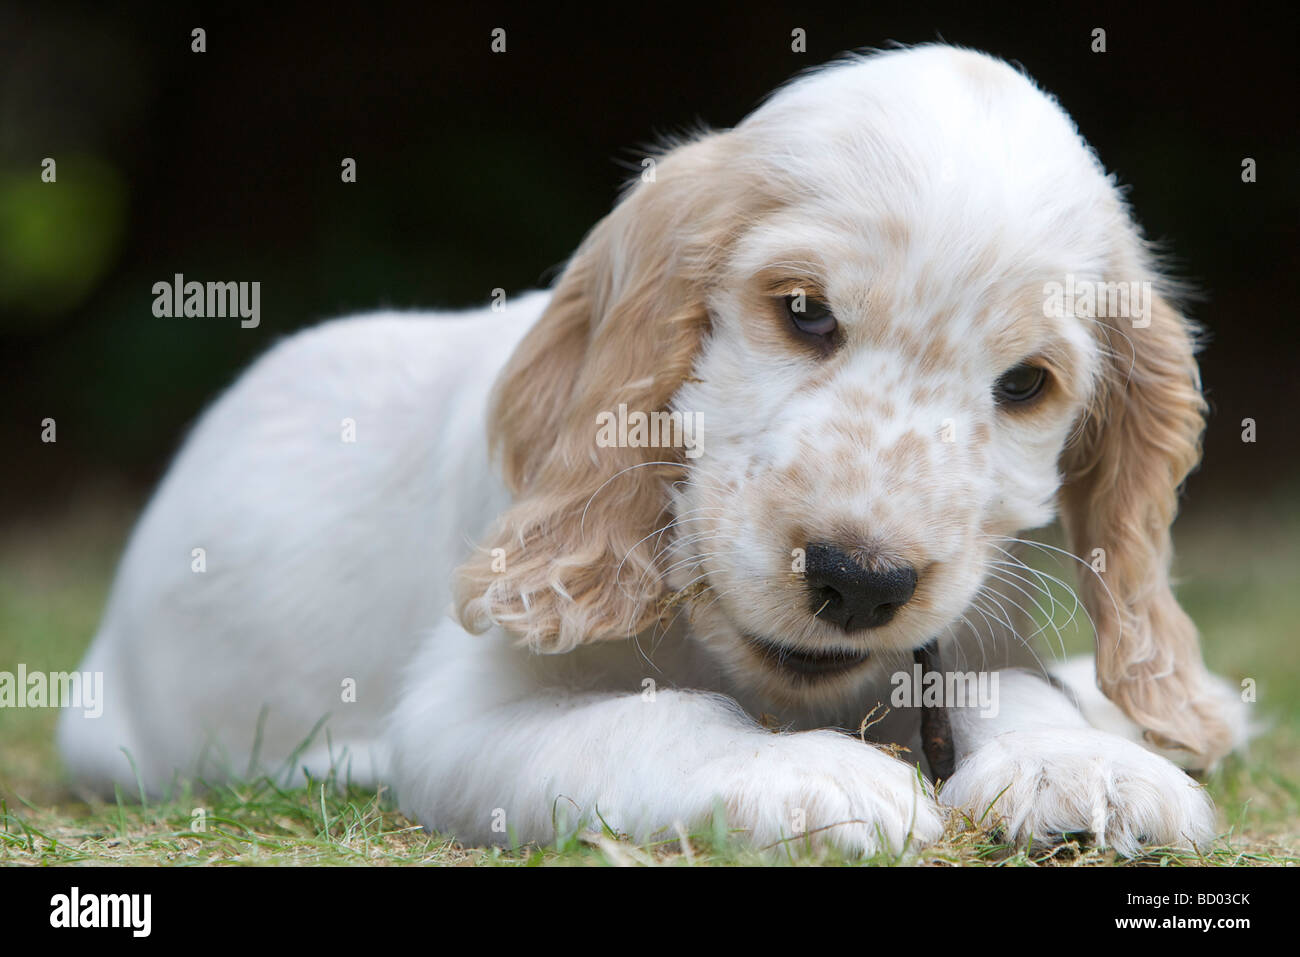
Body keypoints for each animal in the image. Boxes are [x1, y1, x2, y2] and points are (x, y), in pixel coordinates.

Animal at [61, 44, 1248, 858]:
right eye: (805, 311)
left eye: (1025, 386)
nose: (861, 581)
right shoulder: (464, 714)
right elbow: (662, 717)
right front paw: (808, 776)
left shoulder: (968, 627)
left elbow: (1016, 685)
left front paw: (1086, 761)